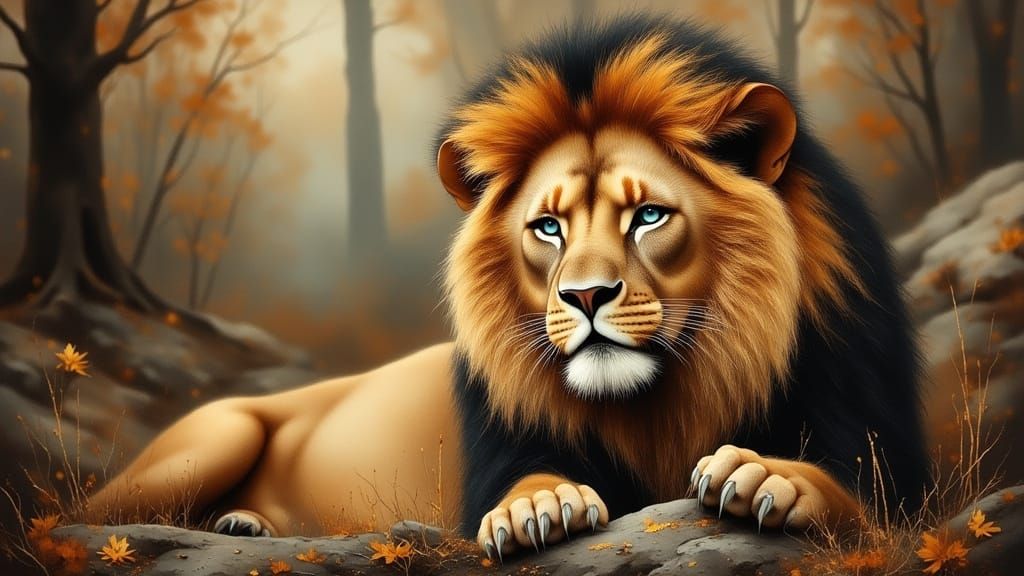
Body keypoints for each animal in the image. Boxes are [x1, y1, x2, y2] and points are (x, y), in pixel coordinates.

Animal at [90, 16, 928, 560]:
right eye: (548, 227)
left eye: (649, 215)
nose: (585, 297)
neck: (662, 401)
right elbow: (520, 480)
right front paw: (540, 504)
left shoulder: (883, 445)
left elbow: (865, 501)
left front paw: (764, 472)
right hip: (211, 437)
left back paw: (243, 526)